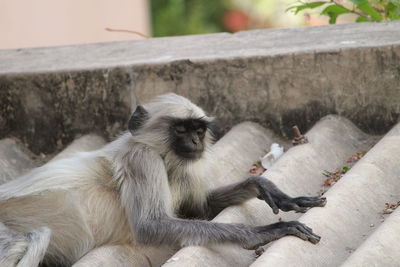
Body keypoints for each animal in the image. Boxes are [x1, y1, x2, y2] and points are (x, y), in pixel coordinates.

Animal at [0, 93, 326, 266]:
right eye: (181, 130)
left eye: (199, 130)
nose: (195, 141)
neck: (162, 156)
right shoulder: (142, 159)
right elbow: (150, 226)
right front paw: (262, 233)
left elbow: (198, 209)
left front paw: (268, 188)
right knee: (32, 238)